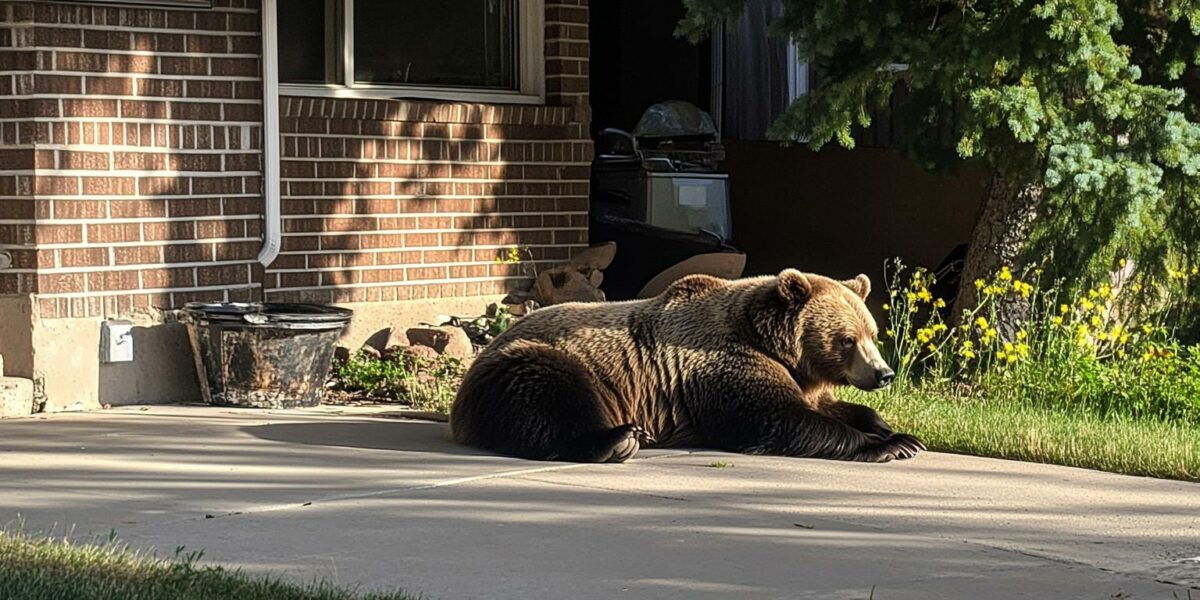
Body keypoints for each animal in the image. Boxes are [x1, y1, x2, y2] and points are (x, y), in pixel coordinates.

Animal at [451, 270, 926, 460]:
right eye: (846, 339)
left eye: (872, 334)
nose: (884, 374)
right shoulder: (721, 365)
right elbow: (776, 419)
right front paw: (892, 444)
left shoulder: (797, 375)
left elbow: (820, 405)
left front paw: (891, 427)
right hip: (543, 361)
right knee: (548, 403)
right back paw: (620, 439)